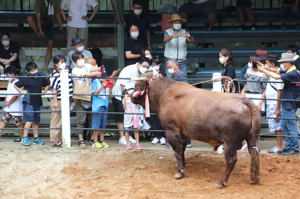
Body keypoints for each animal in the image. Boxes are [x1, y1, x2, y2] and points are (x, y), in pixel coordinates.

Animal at [132, 72, 260, 187]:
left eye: (137, 86)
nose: (130, 95)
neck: (164, 94)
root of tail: (242, 100)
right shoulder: (183, 134)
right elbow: (182, 151)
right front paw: (183, 165)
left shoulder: (171, 131)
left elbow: (177, 152)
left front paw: (179, 172)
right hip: (251, 137)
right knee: (254, 153)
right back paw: (254, 179)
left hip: (230, 142)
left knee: (231, 160)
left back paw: (221, 182)